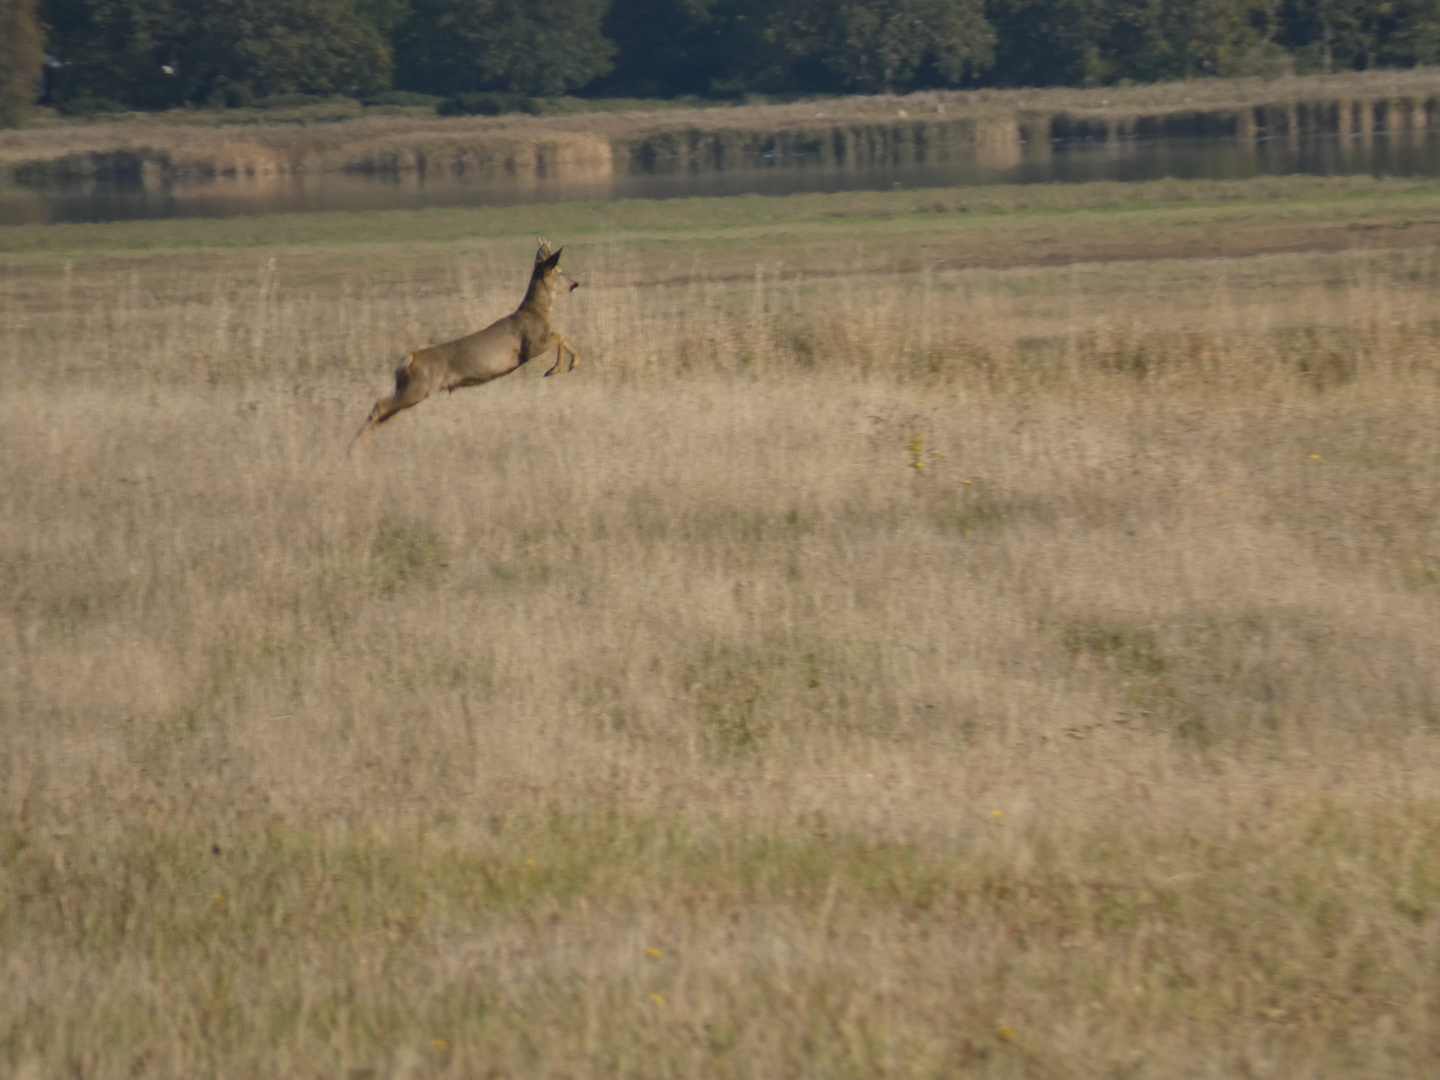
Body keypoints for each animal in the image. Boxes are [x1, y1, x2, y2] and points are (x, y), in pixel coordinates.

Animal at [352, 237, 578, 452]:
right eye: (560, 272)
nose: (575, 284)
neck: (536, 313)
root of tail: (407, 360)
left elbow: (560, 336)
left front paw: (563, 366)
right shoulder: (530, 345)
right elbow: (560, 335)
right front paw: (561, 367)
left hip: (409, 389)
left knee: (385, 415)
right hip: (419, 387)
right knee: (380, 406)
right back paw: (353, 450)